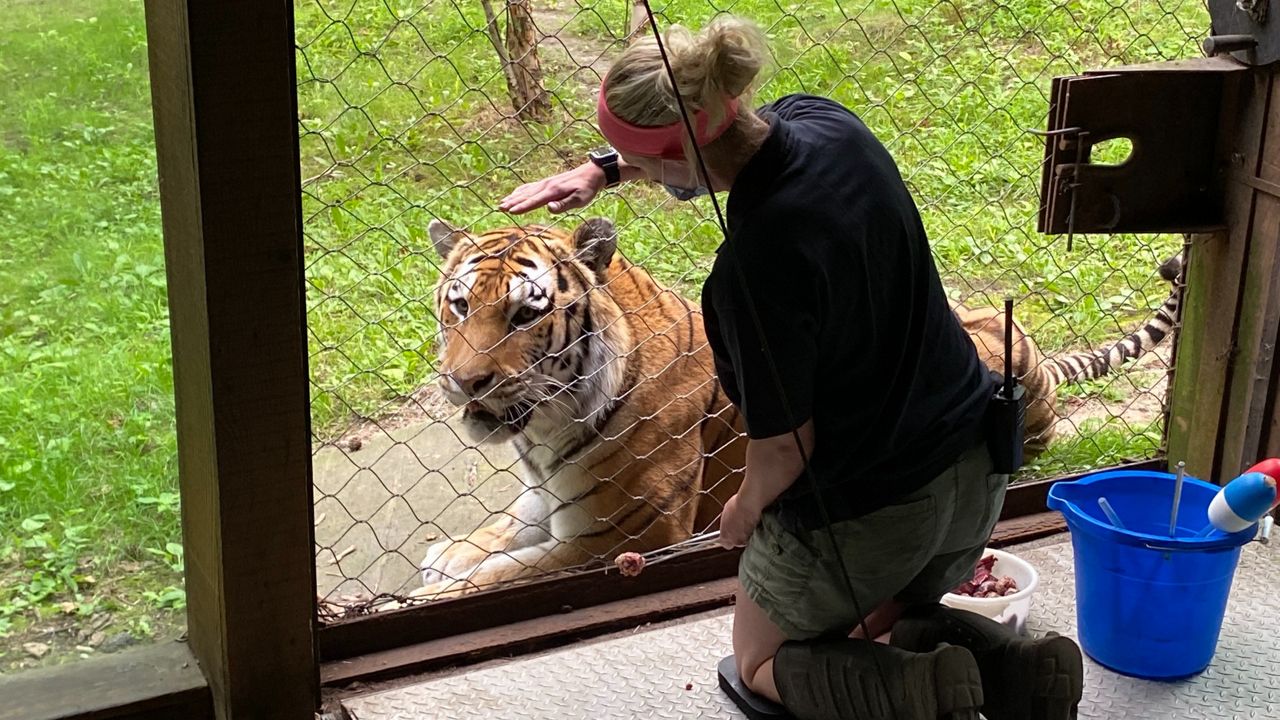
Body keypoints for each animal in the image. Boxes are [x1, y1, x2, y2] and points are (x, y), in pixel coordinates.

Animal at [414, 217, 747, 594]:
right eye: (461, 306)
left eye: (525, 314)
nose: (465, 381)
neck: (543, 432)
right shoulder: (545, 490)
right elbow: (516, 521)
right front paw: (449, 555)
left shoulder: (622, 537)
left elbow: (498, 573)